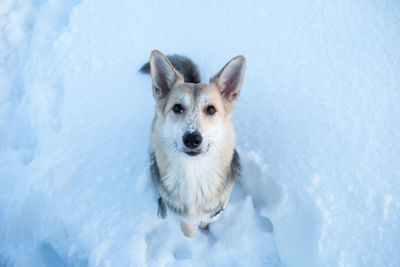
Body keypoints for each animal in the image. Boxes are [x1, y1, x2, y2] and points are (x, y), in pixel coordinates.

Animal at [141, 49, 247, 237]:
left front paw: (205, 230)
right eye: (177, 107)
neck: (193, 172)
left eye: (211, 109)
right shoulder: (182, 216)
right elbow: (189, 230)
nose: (192, 139)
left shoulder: (215, 211)